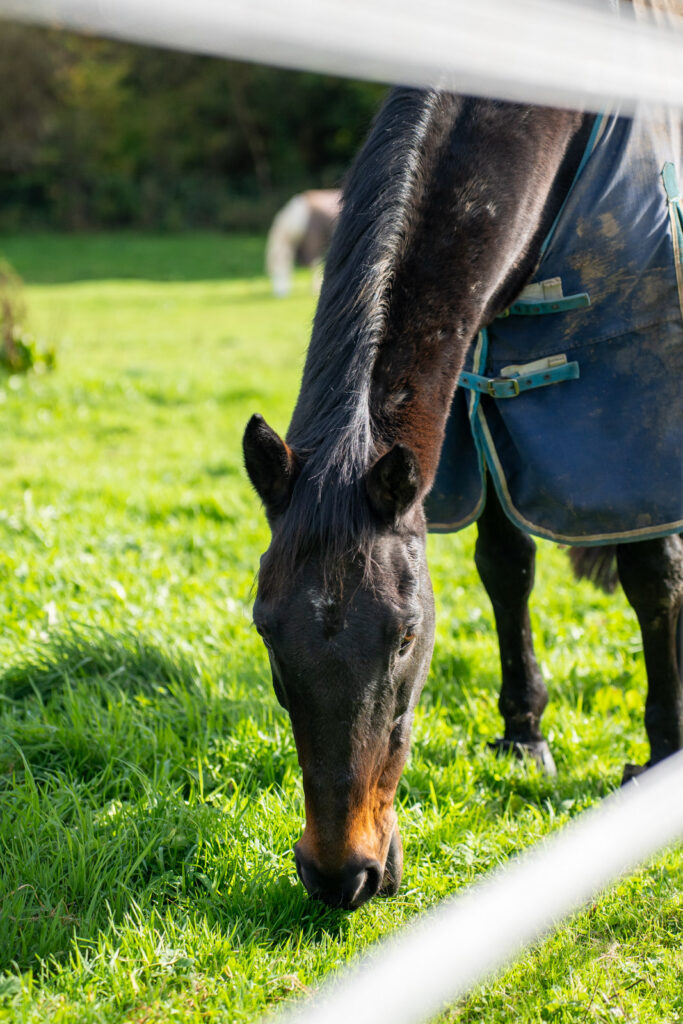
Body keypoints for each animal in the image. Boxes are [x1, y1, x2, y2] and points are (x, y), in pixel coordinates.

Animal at [244, 86, 683, 911]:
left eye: (406, 637)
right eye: (265, 632)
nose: (340, 874)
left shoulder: (632, 430)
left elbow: (652, 579)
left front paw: (662, 754)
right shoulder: (478, 421)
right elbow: (505, 567)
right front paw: (523, 733)